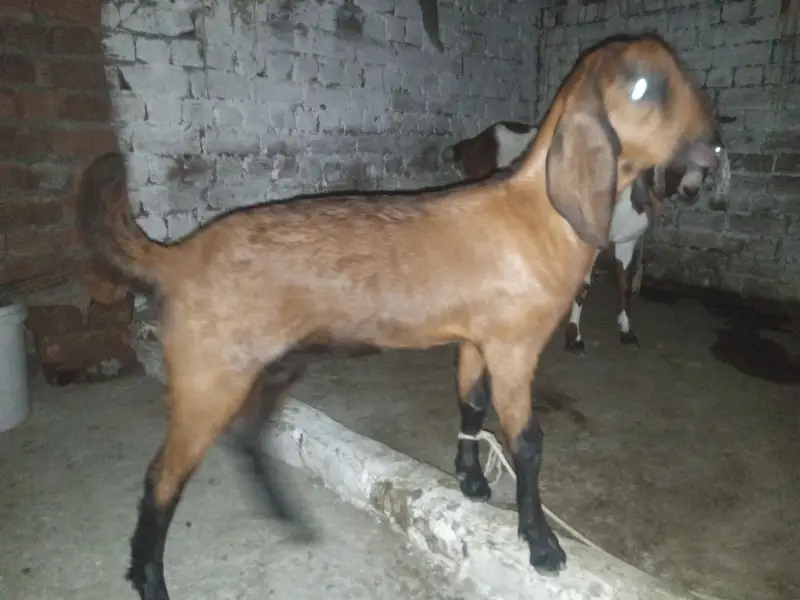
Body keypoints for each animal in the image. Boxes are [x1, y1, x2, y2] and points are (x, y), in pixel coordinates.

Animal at [448, 120, 730, 351]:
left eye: (712, 155)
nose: (691, 190)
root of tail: (473, 142)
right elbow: (583, 288)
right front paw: (574, 339)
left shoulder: (627, 239)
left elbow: (625, 284)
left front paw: (627, 332)